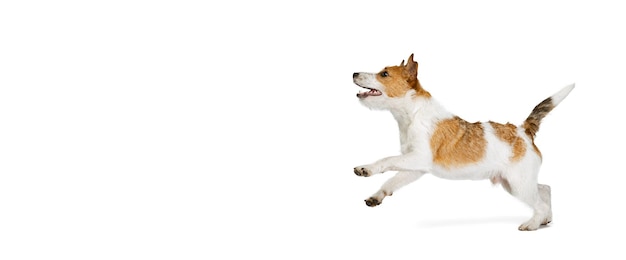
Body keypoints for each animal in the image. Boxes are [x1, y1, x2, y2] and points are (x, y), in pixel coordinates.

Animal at [352, 53, 572, 231]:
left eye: (384, 74)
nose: (354, 73)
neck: (413, 113)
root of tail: (523, 130)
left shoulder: (418, 158)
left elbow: (387, 160)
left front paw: (366, 169)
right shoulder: (415, 167)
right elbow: (392, 180)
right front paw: (377, 195)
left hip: (519, 184)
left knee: (540, 202)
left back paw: (532, 224)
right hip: (513, 182)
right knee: (545, 189)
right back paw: (545, 219)